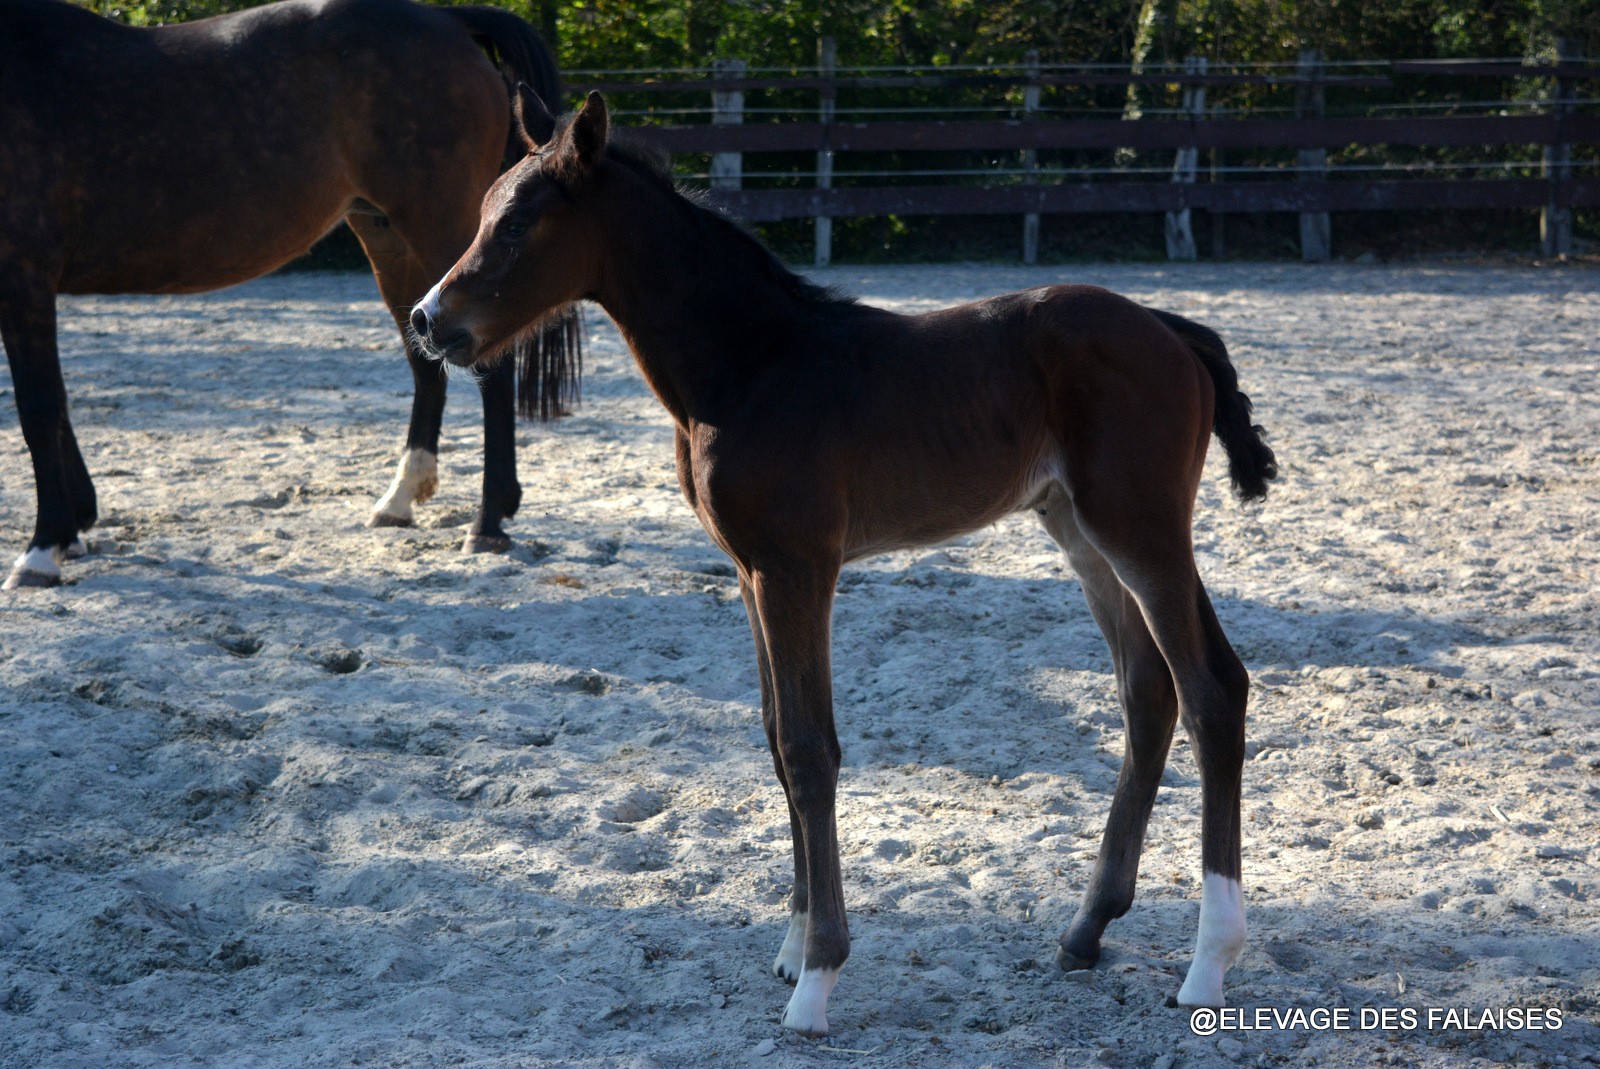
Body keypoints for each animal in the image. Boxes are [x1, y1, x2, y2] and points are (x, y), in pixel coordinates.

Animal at [412, 89, 1273, 1036]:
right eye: (485, 211)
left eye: (519, 222)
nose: (427, 320)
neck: (751, 366)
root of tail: (1173, 330)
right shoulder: (749, 570)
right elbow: (775, 740)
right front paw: (792, 947)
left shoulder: (798, 567)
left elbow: (810, 747)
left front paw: (819, 976)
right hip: (1081, 532)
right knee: (1148, 691)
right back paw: (1086, 929)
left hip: (1141, 529)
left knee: (1211, 688)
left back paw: (1208, 962)